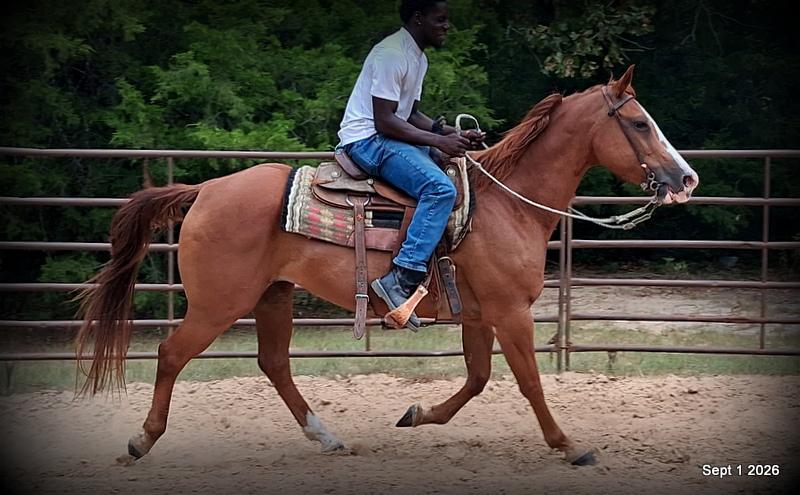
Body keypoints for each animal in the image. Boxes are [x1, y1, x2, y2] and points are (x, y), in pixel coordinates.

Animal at [76, 65, 699, 466]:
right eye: (639, 124)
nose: (686, 177)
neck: (508, 204)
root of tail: (205, 190)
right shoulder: (510, 313)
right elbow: (528, 382)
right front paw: (569, 445)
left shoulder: (480, 316)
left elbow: (477, 379)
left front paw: (416, 414)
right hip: (218, 303)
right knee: (171, 353)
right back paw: (141, 441)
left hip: (272, 295)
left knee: (274, 364)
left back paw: (326, 437)